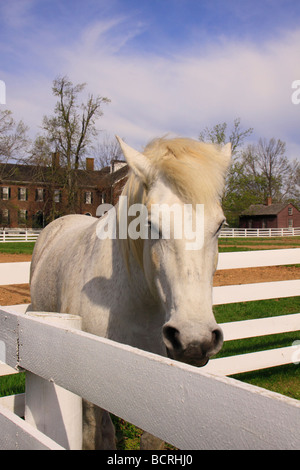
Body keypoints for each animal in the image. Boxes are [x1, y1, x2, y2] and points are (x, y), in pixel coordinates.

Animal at [29, 135, 231, 448]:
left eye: (220, 225)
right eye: (150, 223)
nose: (194, 340)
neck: (137, 304)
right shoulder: (88, 395)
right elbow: (93, 434)